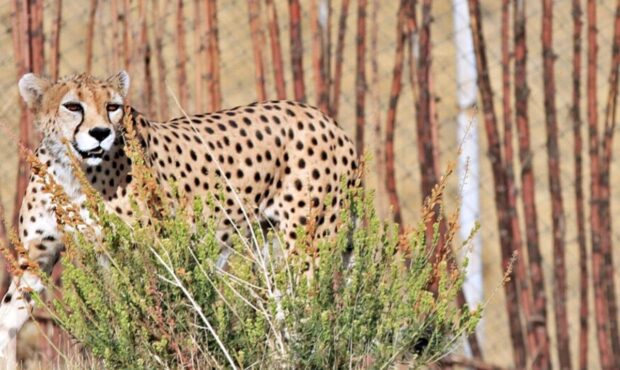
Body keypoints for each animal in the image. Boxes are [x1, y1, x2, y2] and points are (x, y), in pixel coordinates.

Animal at [0, 71, 358, 356]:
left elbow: (148, 322)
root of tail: (327, 119)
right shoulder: (36, 255)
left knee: (306, 315)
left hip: (308, 247)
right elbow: (8, 317)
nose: (101, 132)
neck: (72, 172)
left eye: (112, 107)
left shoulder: (144, 255)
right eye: (73, 106)